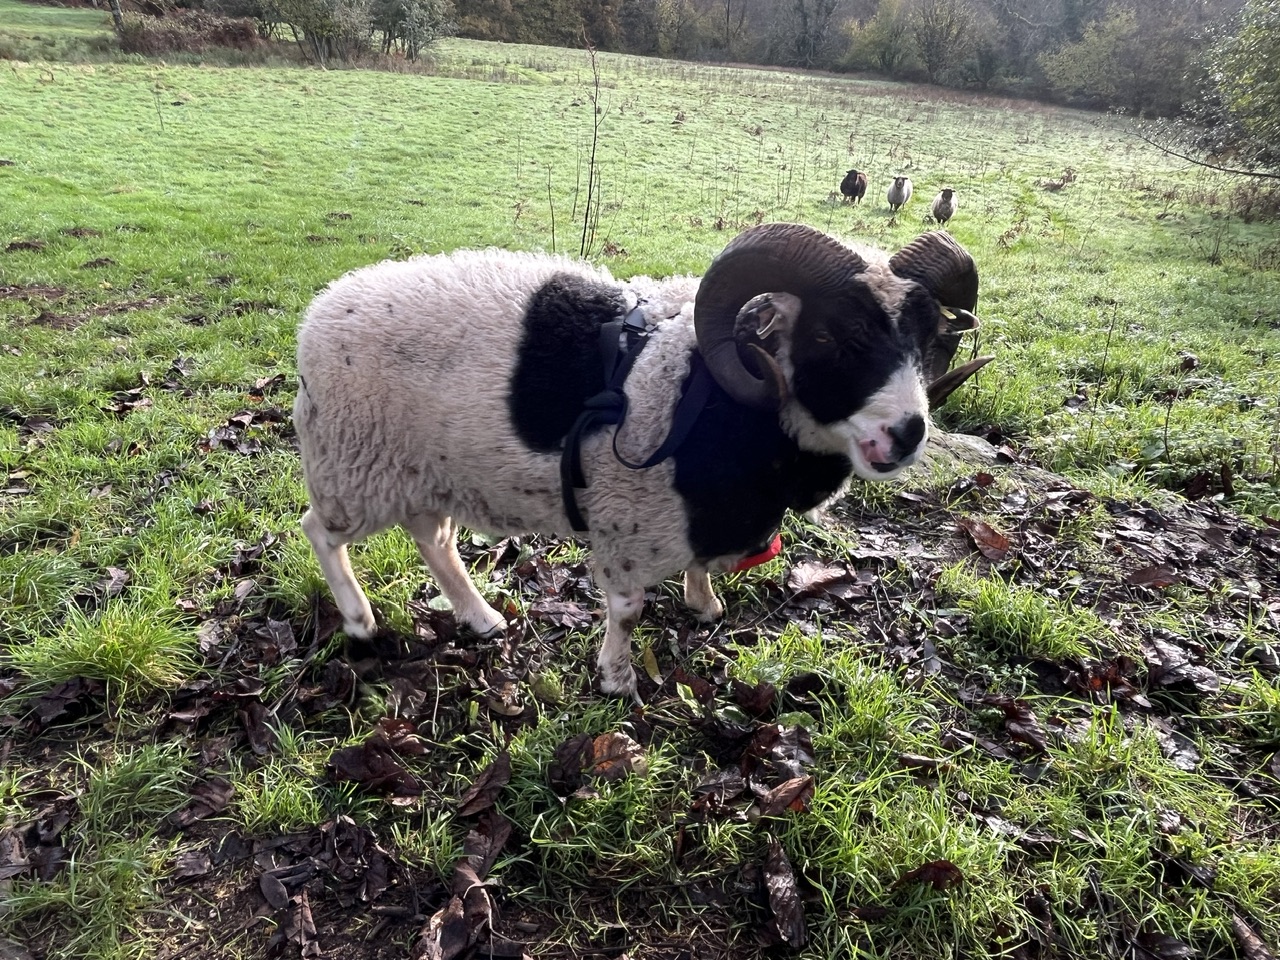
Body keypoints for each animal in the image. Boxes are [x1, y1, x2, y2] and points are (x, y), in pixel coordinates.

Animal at [294, 223, 984, 700]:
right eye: (829, 336)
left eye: (929, 338)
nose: (907, 434)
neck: (708, 391)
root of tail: (319, 310)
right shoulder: (626, 524)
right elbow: (628, 611)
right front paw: (617, 680)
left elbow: (699, 567)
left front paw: (705, 605)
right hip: (352, 464)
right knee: (320, 532)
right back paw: (360, 622)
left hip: (423, 469)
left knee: (433, 537)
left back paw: (481, 617)